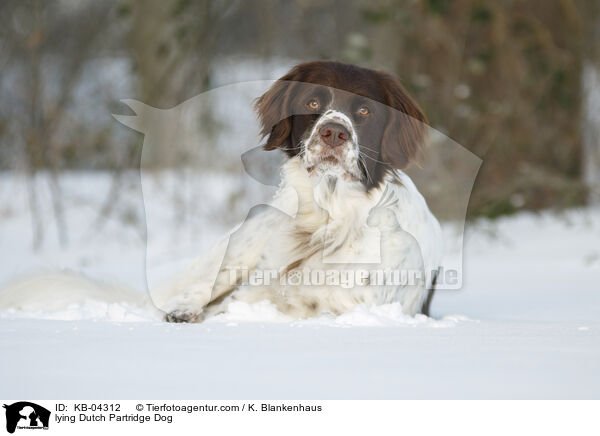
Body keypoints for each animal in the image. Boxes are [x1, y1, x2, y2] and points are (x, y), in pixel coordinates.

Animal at [157, 59, 442, 322]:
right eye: (312, 103)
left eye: (364, 110)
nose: (334, 132)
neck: (327, 215)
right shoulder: (251, 292)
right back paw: (182, 309)